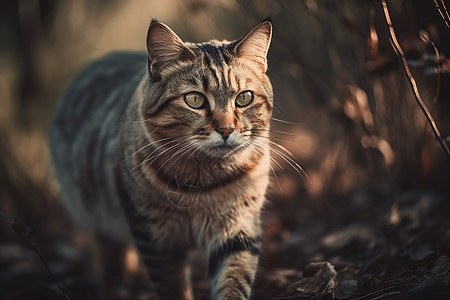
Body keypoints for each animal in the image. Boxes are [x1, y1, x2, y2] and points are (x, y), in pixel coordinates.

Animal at [51, 19, 272, 300]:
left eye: (244, 98)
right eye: (195, 99)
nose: (226, 130)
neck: (203, 185)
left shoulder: (237, 228)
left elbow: (233, 282)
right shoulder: (155, 238)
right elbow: (173, 287)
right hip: (99, 216)